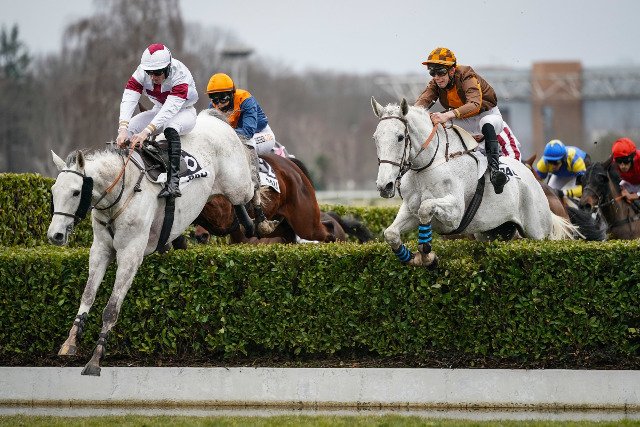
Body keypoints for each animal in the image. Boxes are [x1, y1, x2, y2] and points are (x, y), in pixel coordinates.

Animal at [47, 110, 275, 376]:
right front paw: (70, 342)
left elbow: (111, 308)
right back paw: (247, 223)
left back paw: (261, 222)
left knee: (253, 182)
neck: (122, 191)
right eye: (53, 191)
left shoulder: (130, 253)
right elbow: (87, 296)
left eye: (75, 192)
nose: (55, 235)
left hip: (236, 184)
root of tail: (214, 118)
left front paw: (95, 359)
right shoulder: (101, 250)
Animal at [193, 154, 373, 244]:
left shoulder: (222, 216)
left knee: (327, 230)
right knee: (287, 233)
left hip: (305, 222)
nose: (201, 236)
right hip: (282, 225)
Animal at [370, 97, 579, 268]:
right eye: (376, 138)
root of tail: (535, 181)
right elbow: (391, 233)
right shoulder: (409, 209)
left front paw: (427, 253)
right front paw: (416, 258)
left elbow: (426, 207)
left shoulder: (454, 214)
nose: (384, 186)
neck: (428, 166)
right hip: (493, 232)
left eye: (400, 137)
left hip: (537, 232)